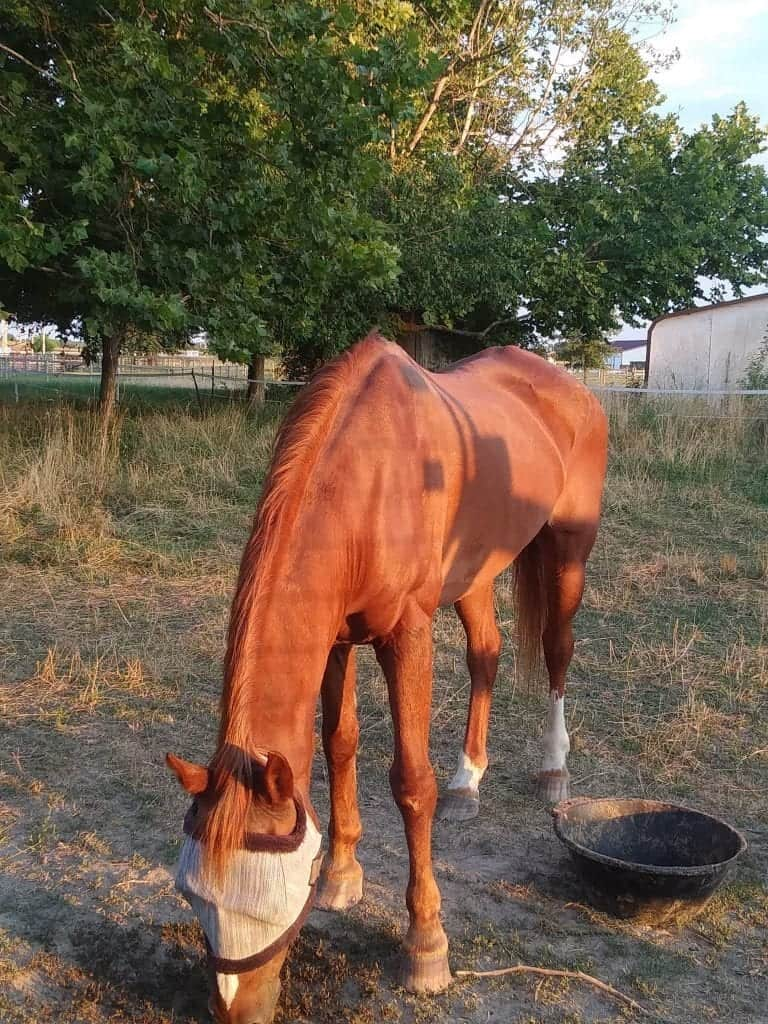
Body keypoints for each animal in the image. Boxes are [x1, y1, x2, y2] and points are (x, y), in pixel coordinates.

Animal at [166, 332, 608, 1024]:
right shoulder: (336, 637)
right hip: (477, 572)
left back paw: (553, 770)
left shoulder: (407, 634)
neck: (368, 476)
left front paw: (426, 945)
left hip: (569, 549)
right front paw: (341, 875)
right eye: (193, 897)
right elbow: (338, 743)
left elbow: (410, 783)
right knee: (485, 656)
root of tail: (570, 388)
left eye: (270, 900)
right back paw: (468, 781)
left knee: (557, 651)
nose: (235, 1011)